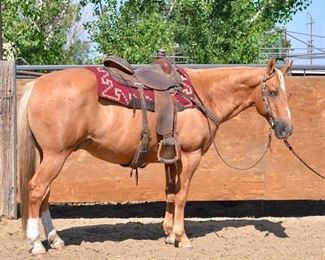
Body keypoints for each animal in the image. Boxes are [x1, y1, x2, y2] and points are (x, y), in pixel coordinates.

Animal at [17, 57, 292, 254]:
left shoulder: (172, 158)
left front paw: (169, 234)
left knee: (45, 193)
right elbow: (182, 196)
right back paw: (36, 243)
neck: (204, 94)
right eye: (273, 92)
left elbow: (170, 193)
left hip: (47, 155)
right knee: (37, 189)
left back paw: (55, 240)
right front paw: (182, 237)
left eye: (287, 93)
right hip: (56, 155)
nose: (286, 129)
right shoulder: (190, 156)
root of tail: (36, 84)